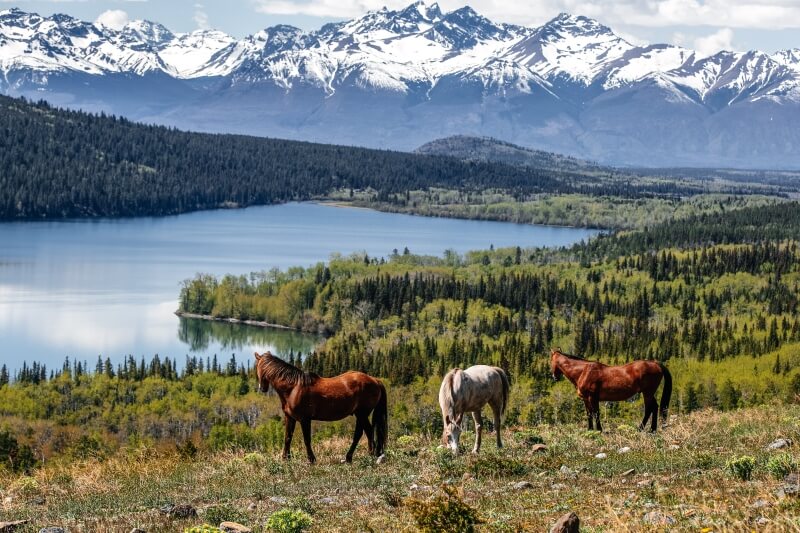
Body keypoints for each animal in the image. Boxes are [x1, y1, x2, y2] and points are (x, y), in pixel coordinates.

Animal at [254, 351, 387, 464]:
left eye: (258, 368)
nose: (262, 388)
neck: (293, 388)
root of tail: (375, 380)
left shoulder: (305, 420)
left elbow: (306, 439)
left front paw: (311, 460)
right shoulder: (290, 418)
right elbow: (287, 437)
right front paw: (285, 458)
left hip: (362, 414)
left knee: (363, 432)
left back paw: (359, 456)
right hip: (360, 414)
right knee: (366, 431)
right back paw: (361, 456)